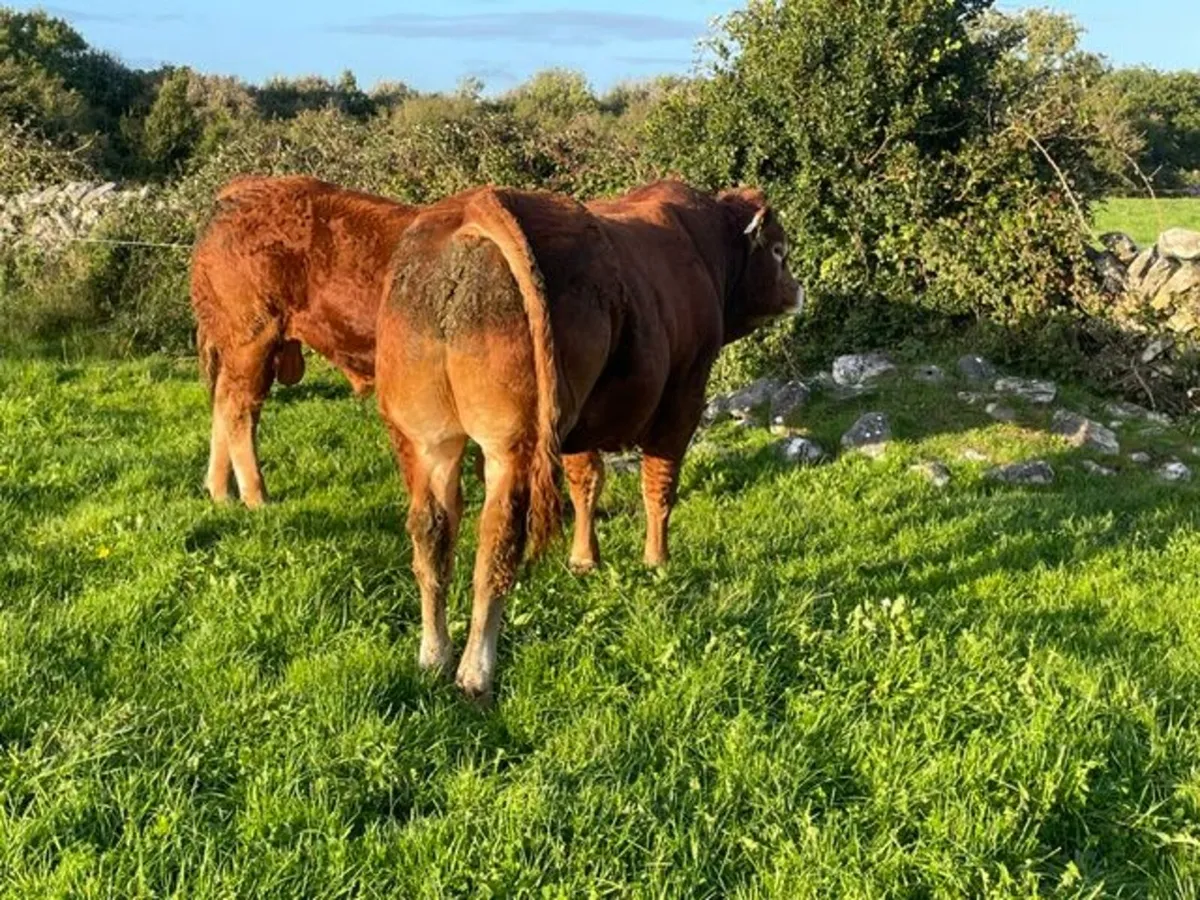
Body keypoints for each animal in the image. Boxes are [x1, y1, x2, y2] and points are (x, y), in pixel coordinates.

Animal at [191, 175, 419, 507]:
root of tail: (247, 186)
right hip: (253, 338)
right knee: (237, 407)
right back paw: (255, 497)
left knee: (225, 402)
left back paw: (222, 492)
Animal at [375, 179, 804, 699]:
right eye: (779, 250)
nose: (797, 290)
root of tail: (470, 209)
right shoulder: (683, 397)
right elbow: (659, 485)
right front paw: (657, 560)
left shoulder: (580, 422)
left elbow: (586, 484)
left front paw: (583, 560)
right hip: (512, 443)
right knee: (497, 539)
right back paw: (476, 672)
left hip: (425, 439)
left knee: (431, 533)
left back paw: (434, 655)